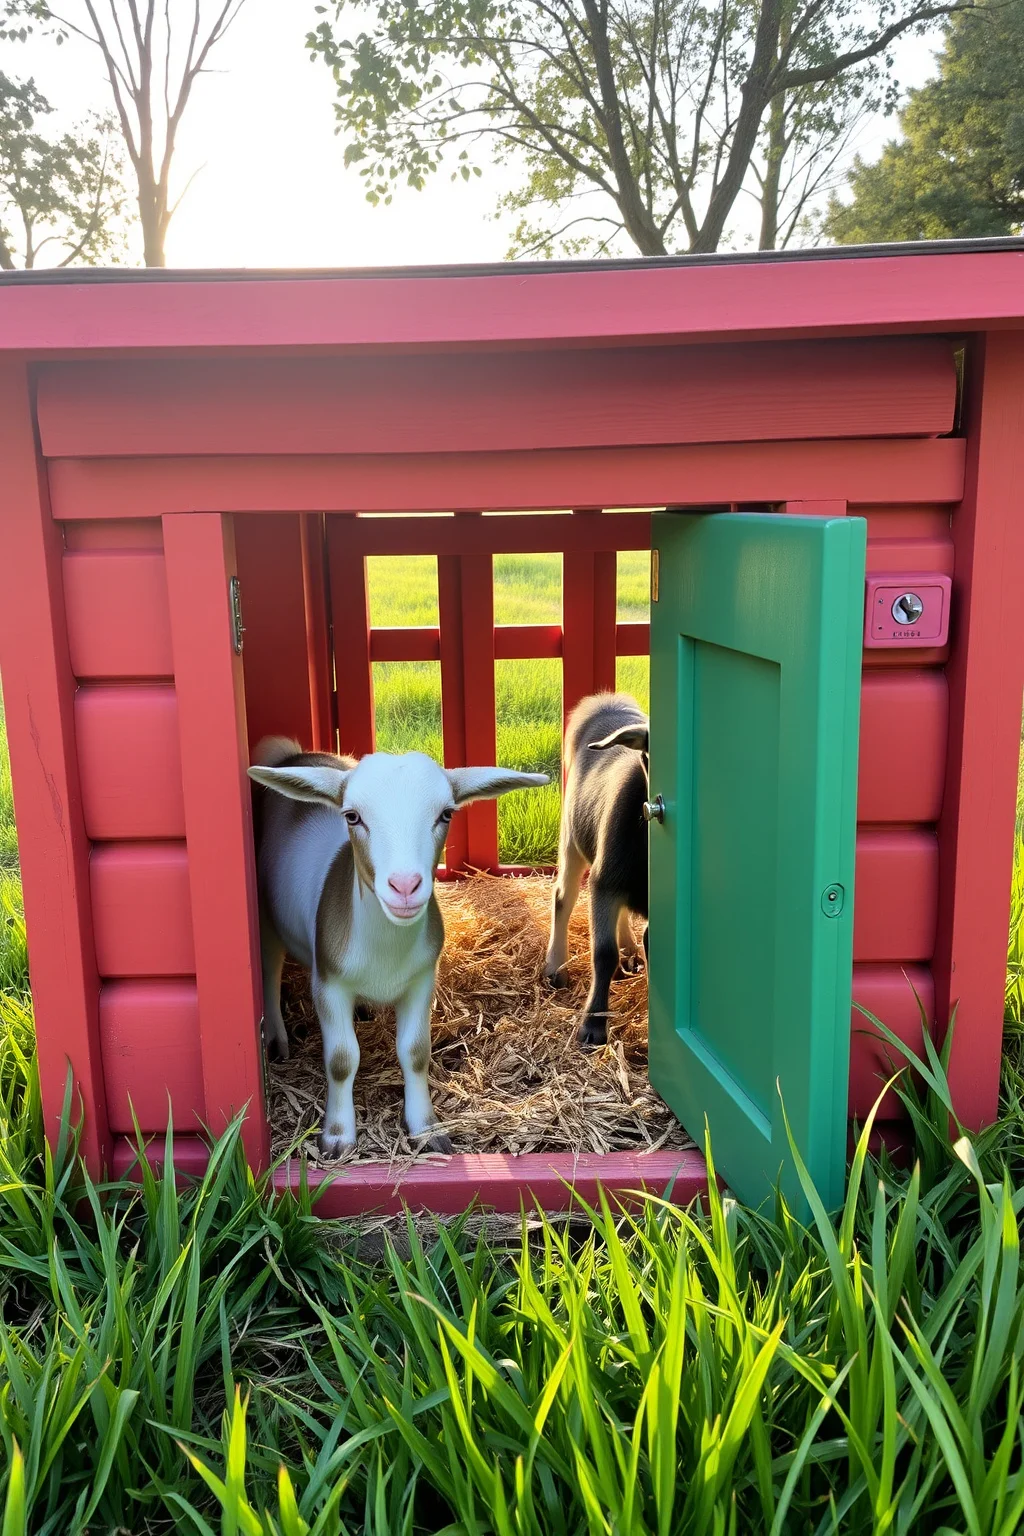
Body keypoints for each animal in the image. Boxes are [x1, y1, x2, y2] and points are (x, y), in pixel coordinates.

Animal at [248, 738, 548, 1156]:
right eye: (352, 816)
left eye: (446, 814)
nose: (405, 886)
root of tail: (296, 756)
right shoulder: (329, 984)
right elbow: (341, 1059)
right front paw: (337, 1137)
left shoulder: (422, 980)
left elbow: (416, 1052)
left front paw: (427, 1128)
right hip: (266, 917)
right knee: (270, 967)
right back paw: (276, 1039)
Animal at [543, 693, 649, 1046]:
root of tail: (605, 702)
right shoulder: (605, 883)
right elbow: (603, 954)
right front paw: (593, 1025)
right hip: (571, 838)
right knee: (562, 897)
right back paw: (555, 967)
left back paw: (629, 949)